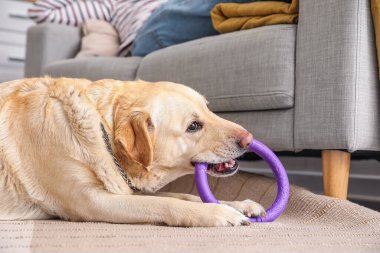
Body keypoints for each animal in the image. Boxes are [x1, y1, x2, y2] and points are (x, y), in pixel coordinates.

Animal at [0, 77, 264, 227]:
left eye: (208, 109)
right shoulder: (90, 201)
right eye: (193, 126)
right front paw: (219, 212)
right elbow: (166, 203)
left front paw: (239, 204)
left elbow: (183, 195)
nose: (249, 140)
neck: (101, 127)